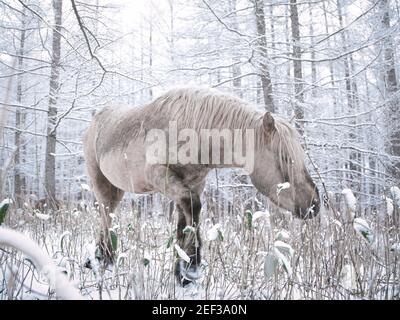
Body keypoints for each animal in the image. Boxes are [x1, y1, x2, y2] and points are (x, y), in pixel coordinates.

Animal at [83, 87, 320, 284]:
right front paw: (192, 265)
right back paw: (103, 259)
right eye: (284, 158)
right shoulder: (162, 178)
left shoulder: (193, 184)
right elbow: (193, 208)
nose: (314, 204)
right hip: (101, 184)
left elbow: (184, 223)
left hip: (117, 189)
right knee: (105, 215)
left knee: (109, 216)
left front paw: (181, 270)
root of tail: (96, 118)